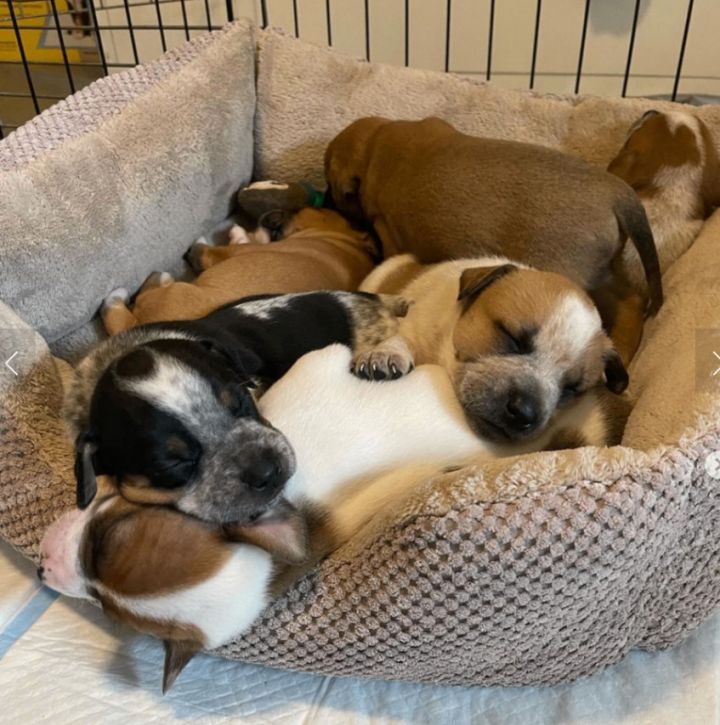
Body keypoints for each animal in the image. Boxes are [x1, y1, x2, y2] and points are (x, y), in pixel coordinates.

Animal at [326, 120, 664, 368]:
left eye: (331, 180)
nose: (326, 197)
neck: (379, 145)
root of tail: (618, 193)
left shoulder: (390, 235)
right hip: (603, 271)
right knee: (632, 300)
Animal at [360, 255, 632, 446]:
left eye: (572, 388)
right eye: (512, 337)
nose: (524, 414)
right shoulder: (417, 327)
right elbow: (402, 339)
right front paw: (387, 355)